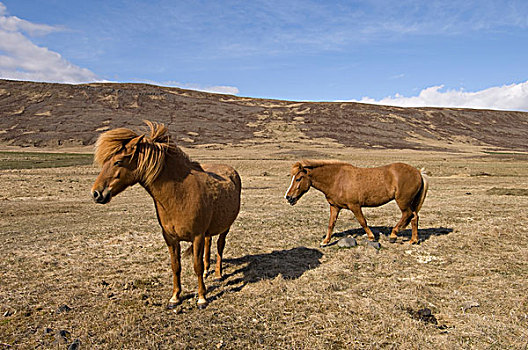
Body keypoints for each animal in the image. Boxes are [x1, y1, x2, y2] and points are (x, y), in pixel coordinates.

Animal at [91, 121, 241, 308]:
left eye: (118, 161)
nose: (96, 193)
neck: (180, 194)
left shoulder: (197, 236)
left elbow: (196, 266)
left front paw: (201, 298)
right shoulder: (170, 237)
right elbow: (175, 266)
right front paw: (175, 297)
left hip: (225, 228)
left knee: (220, 246)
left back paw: (218, 274)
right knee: (209, 244)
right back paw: (208, 270)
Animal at [284, 159, 428, 245]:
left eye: (298, 179)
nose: (288, 197)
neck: (337, 179)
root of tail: (418, 172)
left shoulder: (355, 206)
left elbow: (363, 221)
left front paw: (371, 237)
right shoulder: (334, 206)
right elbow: (331, 224)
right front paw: (325, 241)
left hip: (403, 202)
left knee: (408, 215)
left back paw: (393, 235)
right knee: (414, 217)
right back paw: (413, 240)